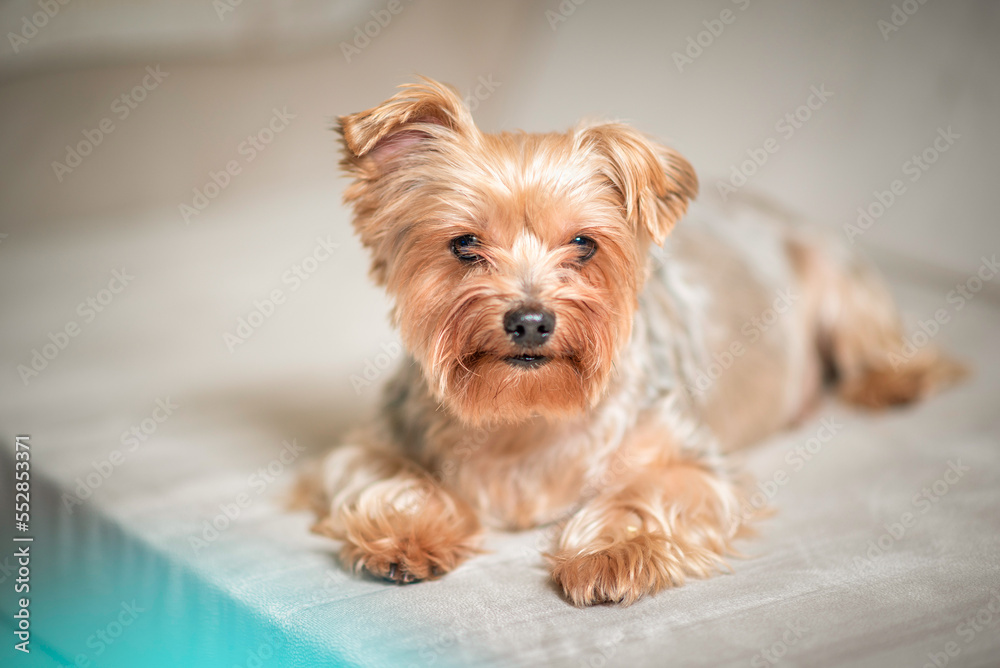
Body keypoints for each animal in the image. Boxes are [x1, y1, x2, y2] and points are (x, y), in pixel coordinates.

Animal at [308, 77, 964, 604]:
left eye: (584, 244)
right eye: (464, 244)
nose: (530, 321)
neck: (525, 412)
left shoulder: (691, 458)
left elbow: (649, 491)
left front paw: (609, 553)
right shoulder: (376, 439)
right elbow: (385, 478)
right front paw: (407, 532)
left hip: (839, 280)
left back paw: (894, 381)